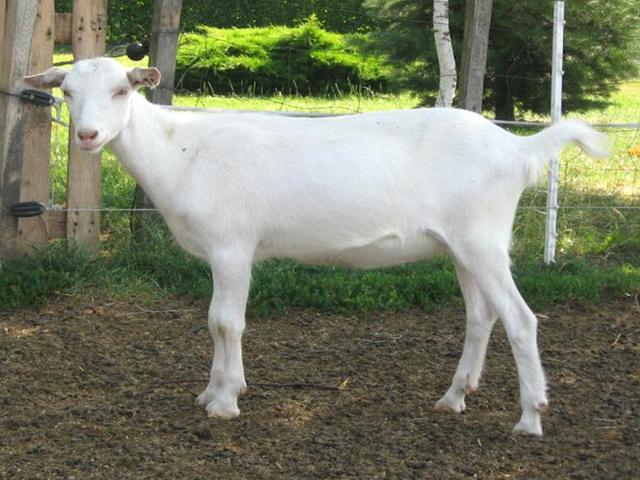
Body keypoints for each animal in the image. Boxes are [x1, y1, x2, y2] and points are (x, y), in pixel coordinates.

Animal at [25, 57, 609, 436]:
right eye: (67, 92)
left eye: (122, 91)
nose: (87, 136)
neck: (183, 152)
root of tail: (517, 147)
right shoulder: (222, 253)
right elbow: (213, 322)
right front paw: (213, 390)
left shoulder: (233, 246)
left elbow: (225, 322)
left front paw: (224, 402)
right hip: (464, 244)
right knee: (481, 315)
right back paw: (454, 397)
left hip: (482, 237)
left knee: (520, 318)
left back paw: (530, 417)